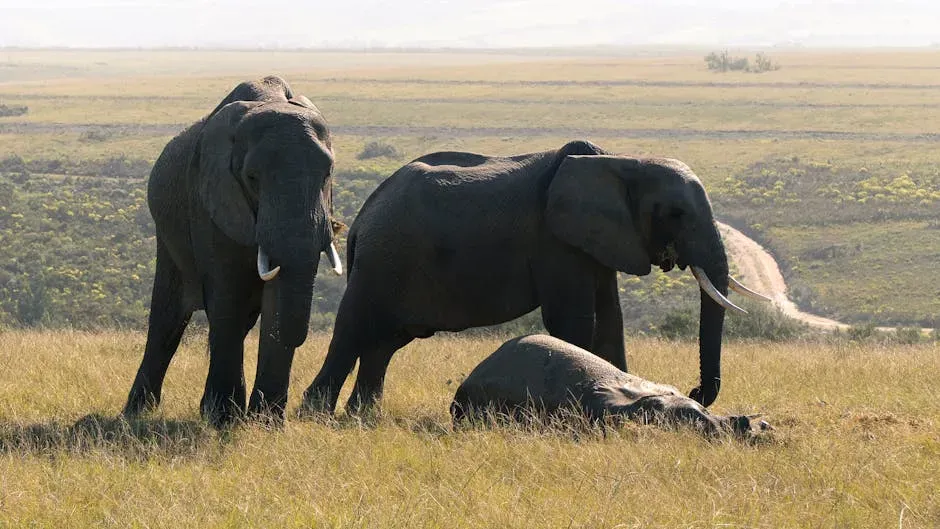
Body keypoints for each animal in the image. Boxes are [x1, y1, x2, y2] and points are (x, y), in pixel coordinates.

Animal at [124, 76, 342, 426]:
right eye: (252, 178)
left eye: (327, 174)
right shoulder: (210, 197)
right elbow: (227, 295)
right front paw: (223, 418)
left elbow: (273, 300)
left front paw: (266, 423)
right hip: (168, 231)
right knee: (167, 319)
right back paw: (137, 411)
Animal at [302, 140, 768, 415]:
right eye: (675, 213)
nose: (695, 391)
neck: (620, 162)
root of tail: (361, 218)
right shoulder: (554, 241)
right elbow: (574, 320)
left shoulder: (598, 240)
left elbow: (611, 320)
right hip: (383, 259)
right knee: (353, 330)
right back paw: (317, 414)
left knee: (384, 342)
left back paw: (363, 418)